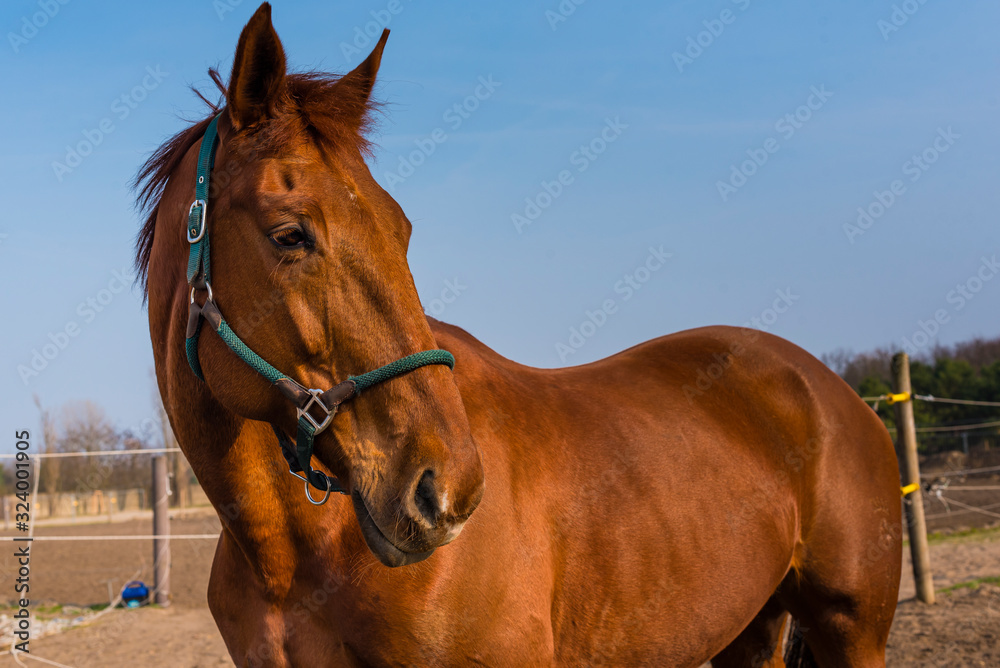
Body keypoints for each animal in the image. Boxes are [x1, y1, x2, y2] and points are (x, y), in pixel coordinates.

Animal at [136, 4, 902, 666]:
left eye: (401, 228)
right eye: (290, 234)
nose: (446, 491)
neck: (295, 555)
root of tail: (832, 391)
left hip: (851, 634)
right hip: (751, 630)